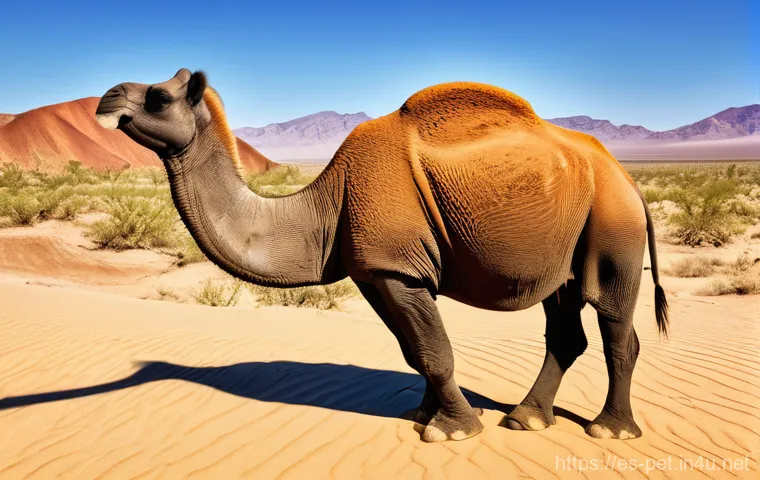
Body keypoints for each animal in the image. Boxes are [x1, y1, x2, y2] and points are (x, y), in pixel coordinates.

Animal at [96, 69, 668, 443]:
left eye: (158, 98)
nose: (105, 98)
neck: (321, 202)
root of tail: (629, 180)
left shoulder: (399, 268)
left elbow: (435, 350)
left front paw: (453, 432)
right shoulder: (375, 272)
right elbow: (415, 350)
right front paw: (425, 416)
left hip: (611, 217)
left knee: (611, 310)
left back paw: (610, 432)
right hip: (571, 224)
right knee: (563, 307)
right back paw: (525, 420)